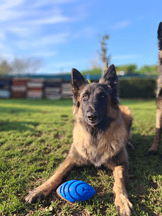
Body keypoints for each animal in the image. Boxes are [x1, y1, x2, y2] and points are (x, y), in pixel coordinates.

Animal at [25, 64, 134, 216]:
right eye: (85, 97)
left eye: (102, 96)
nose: (91, 116)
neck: (95, 135)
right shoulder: (71, 158)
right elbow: (56, 174)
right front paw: (39, 190)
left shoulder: (121, 163)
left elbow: (118, 183)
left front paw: (123, 201)